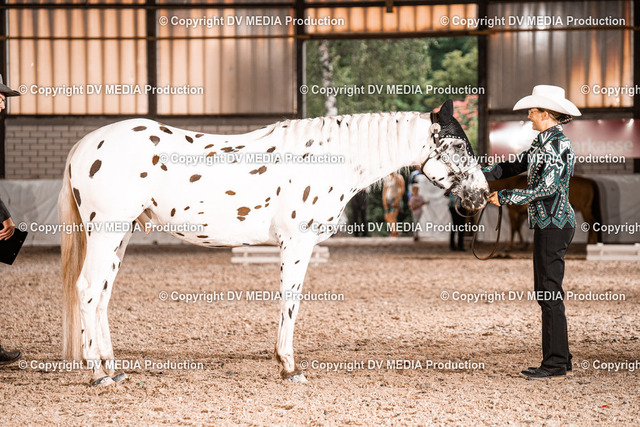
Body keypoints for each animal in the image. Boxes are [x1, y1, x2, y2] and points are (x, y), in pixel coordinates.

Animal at [58, 99, 489, 386]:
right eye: (458, 145)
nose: (482, 195)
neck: (327, 159)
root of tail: (84, 145)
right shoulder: (297, 243)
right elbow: (290, 301)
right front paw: (289, 366)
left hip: (121, 234)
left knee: (102, 293)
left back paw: (112, 367)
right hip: (107, 231)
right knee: (87, 289)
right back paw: (97, 373)